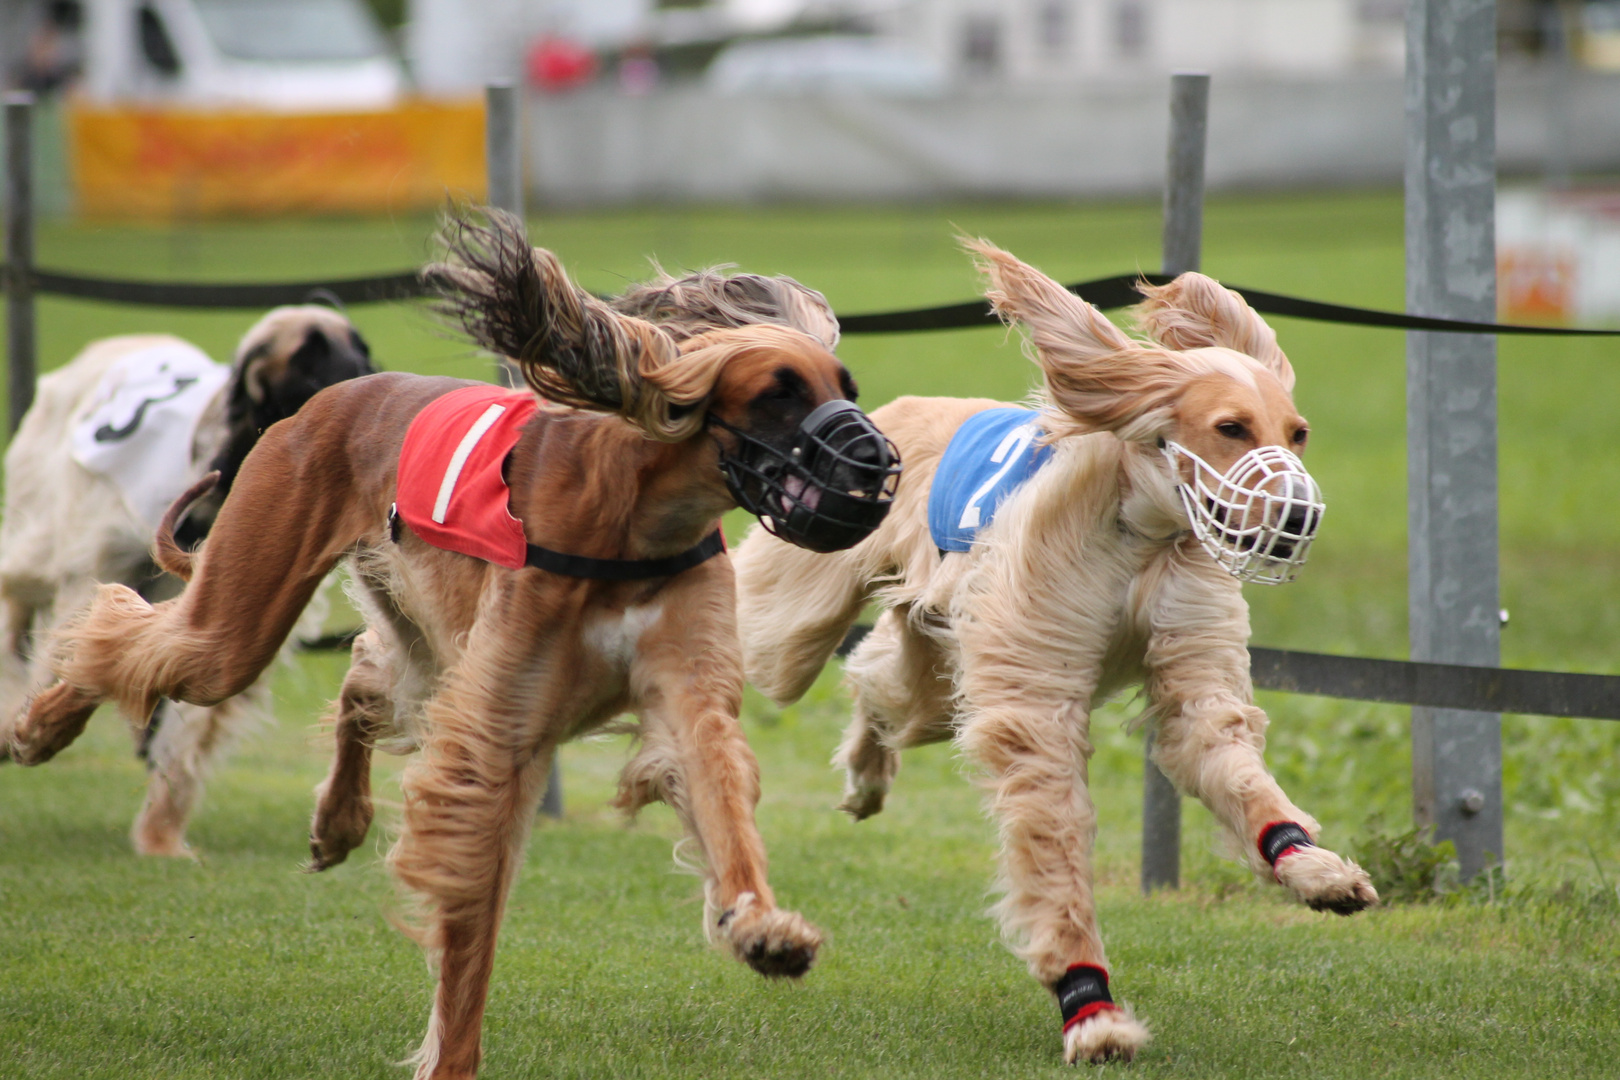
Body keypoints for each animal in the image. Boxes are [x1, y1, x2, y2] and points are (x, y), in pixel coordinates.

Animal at [0, 307, 370, 854]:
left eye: (362, 349)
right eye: (307, 357)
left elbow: (184, 730)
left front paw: (162, 838)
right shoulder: (97, 568)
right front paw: (29, 726)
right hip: (44, 523)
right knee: (17, 599)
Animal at [735, 242, 1380, 1062]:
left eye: (1296, 432)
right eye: (1231, 427)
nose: (1297, 516)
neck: (1140, 533)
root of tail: (884, 414)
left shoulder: (1186, 657)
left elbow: (1225, 755)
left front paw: (1316, 871)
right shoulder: (1033, 689)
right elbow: (1055, 843)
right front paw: (1091, 1010)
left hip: (938, 660)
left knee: (879, 686)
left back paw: (866, 773)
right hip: (792, 622)